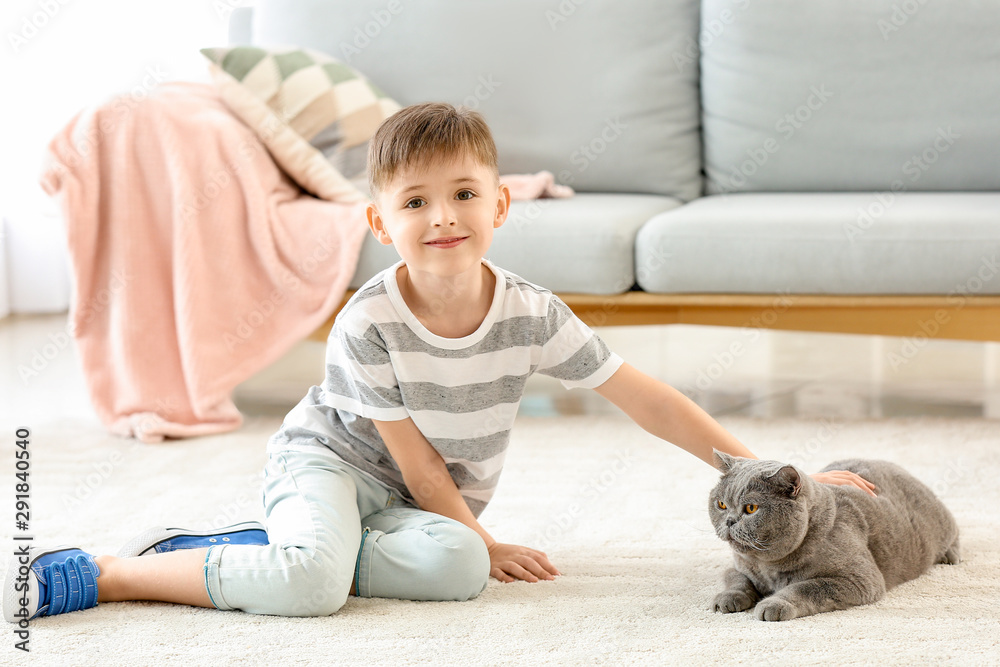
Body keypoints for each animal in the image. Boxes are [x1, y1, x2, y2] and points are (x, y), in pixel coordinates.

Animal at [708, 452, 956, 624]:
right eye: (721, 504)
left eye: (751, 508)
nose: (729, 521)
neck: (768, 567)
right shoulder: (738, 566)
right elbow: (736, 578)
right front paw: (728, 598)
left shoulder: (859, 579)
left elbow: (805, 587)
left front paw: (774, 604)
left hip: (939, 525)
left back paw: (950, 556)